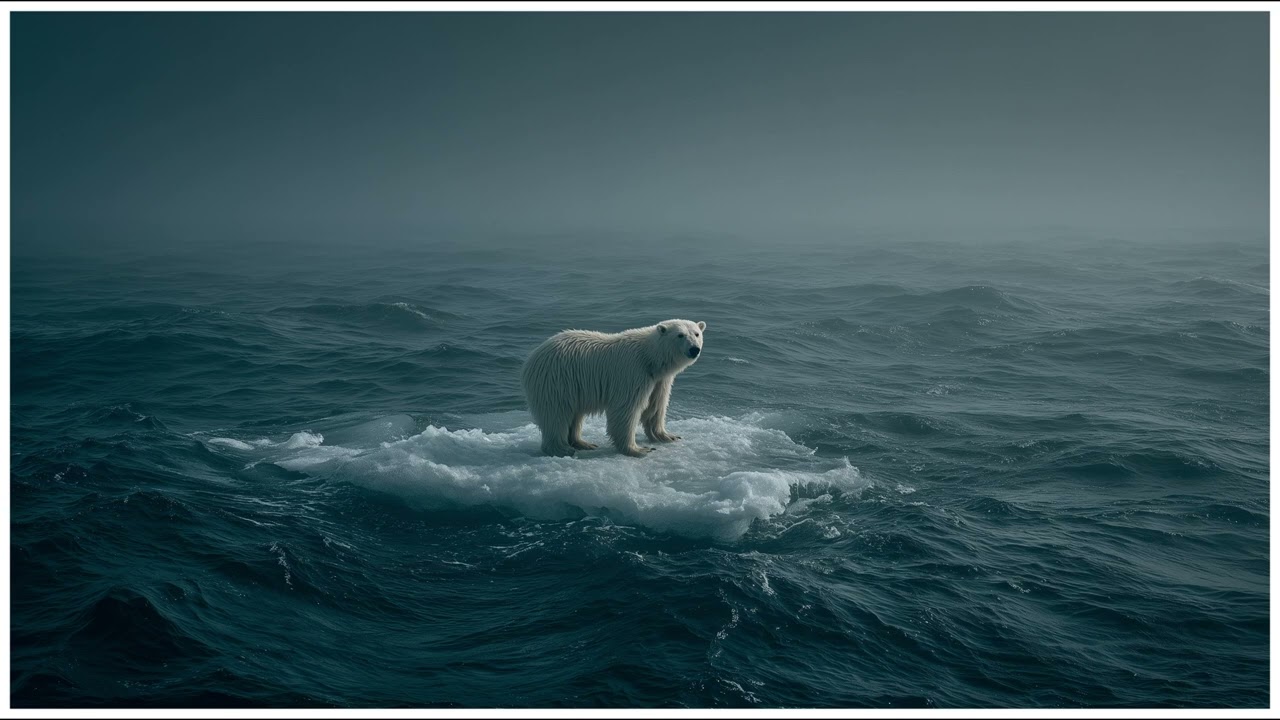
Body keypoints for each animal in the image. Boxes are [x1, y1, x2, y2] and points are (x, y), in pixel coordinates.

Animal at [521, 319, 707, 457]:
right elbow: (625, 410)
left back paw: (583, 443)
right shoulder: (633, 374)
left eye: (697, 333)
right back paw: (562, 448)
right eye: (680, 335)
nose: (694, 349)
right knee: (556, 415)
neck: (650, 358)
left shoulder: (659, 380)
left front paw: (668, 436)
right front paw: (638, 449)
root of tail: (533, 357)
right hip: (556, 381)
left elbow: (656, 407)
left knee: (575, 415)